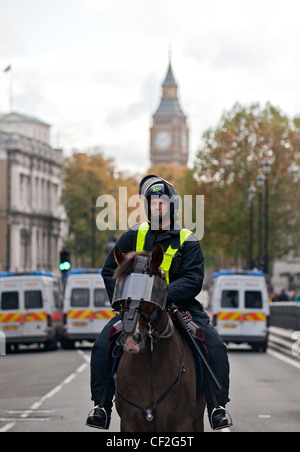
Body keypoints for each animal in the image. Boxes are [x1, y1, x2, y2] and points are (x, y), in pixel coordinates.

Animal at [112, 244, 206, 430]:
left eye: (152, 290)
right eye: (122, 292)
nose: (131, 340)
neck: (150, 365)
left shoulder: (182, 423)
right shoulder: (128, 423)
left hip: (198, 419)